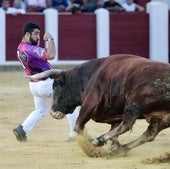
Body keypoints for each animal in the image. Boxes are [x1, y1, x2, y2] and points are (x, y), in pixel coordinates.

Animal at [28, 54, 170, 156]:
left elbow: (78, 126)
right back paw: (122, 149)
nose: (53, 112)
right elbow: (114, 131)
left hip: (134, 104)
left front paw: (94, 141)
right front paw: (114, 146)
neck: (88, 76)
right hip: (161, 117)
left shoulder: (91, 102)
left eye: (55, 86)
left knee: (127, 124)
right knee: (150, 134)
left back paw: (100, 140)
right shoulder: (114, 113)